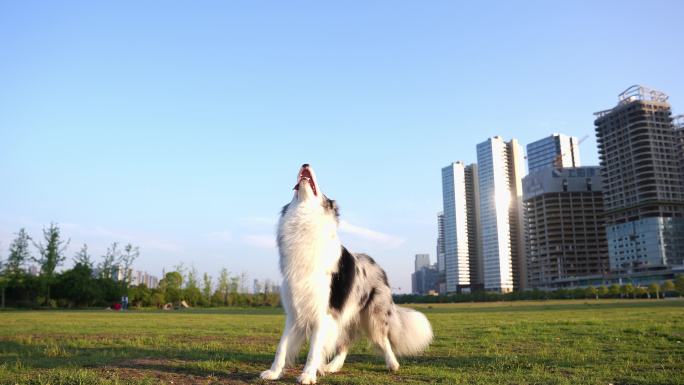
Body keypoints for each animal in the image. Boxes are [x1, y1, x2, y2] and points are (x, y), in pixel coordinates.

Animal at [260, 164, 430, 382]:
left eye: (322, 191)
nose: (305, 163)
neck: (304, 217)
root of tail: (379, 267)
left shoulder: (323, 312)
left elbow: (314, 349)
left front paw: (307, 375)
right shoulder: (295, 312)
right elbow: (282, 346)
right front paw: (273, 372)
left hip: (373, 314)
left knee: (383, 339)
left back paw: (393, 364)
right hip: (347, 314)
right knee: (345, 342)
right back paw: (333, 366)